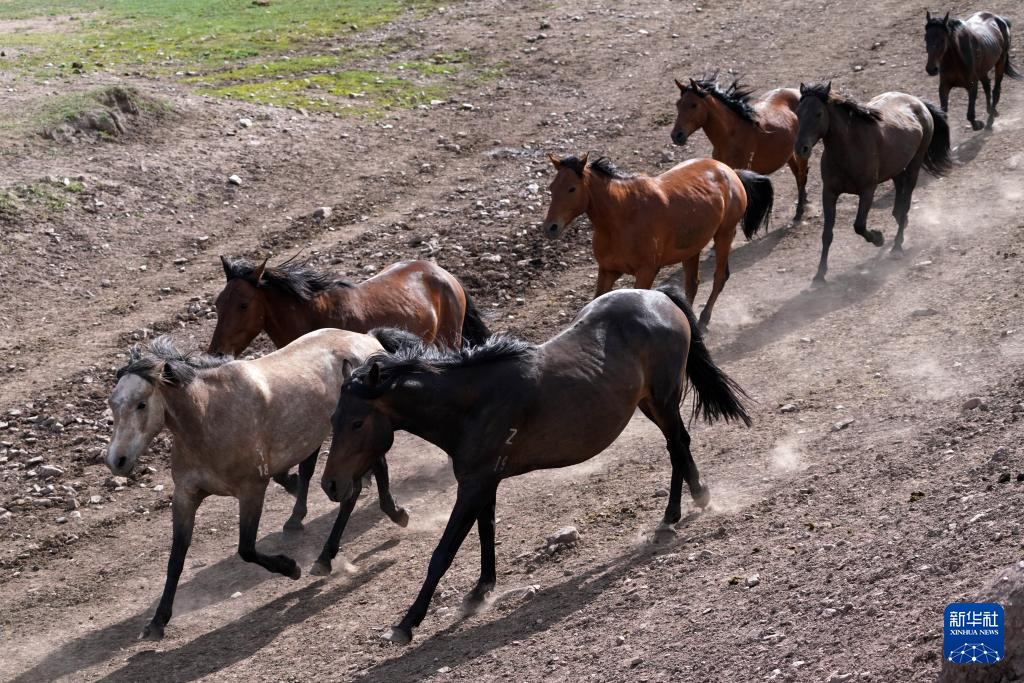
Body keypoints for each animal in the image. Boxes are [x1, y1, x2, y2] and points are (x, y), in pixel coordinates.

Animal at [207, 255, 487, 358]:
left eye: (243, 305)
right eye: (218, 303)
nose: (216, 352)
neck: (315, 317)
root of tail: (444, 274)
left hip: (450, 340)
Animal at [319, 282, 753, 647]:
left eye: (357, 422)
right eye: (332, 419)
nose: (331, 485)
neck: (472, 403)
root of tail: (658, 295)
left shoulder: (473, 485)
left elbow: (442, 553)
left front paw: (406, 624)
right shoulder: (485, 482)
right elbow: (486, 534)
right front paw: (480, 592)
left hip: (663, 398)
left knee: (677, 445)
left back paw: (677, 513)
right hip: (649, 401)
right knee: (677, 446)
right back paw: (688, 504)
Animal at [540, 154, 770, 327]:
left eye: (572, 188)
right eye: (551, 187)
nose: (550, 227)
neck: (622, 217)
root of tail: (730, 171)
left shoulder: (646, 272)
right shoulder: (607, 271)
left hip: (724, 234)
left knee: (720, 277)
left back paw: (704, 320)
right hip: (692, 249)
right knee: (692, 284)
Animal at [671, 76, 806, 223]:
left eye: (694, 105)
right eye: (678, 104)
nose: (676, 135)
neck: (731, 136)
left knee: (802, 175)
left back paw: (799, 212)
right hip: (789, 154)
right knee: (797, 173)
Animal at [794, 82, 954, 282]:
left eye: (818, 113)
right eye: (798, 113)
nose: (801, 148)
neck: (849, 149)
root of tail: (918, 103)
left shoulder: (867, 191)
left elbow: (859, 226)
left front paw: (879, 238)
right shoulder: (829, 193)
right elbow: (827, 234)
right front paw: (819, 275)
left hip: (914, 166)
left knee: (906, 200)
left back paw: (897, 246)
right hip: (896, 166)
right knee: (899, 193)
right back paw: (900, 219)